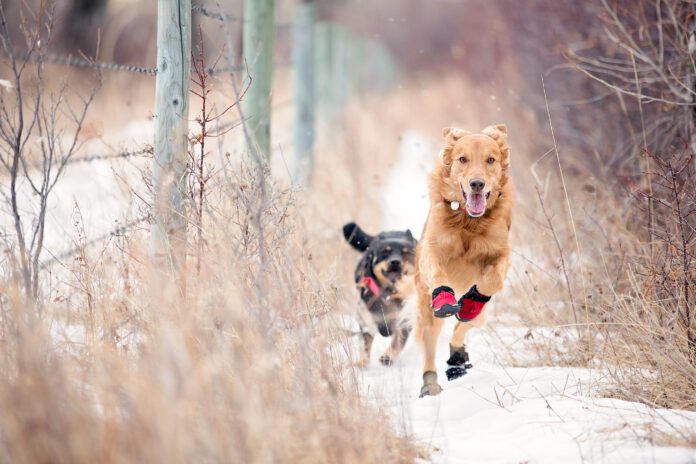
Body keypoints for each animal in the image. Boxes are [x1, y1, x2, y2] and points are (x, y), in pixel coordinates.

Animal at [342, 221, 414, 366]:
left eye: (406, 253)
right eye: (385, 252)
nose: (395, 261)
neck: (389, 293)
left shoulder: (405, 319)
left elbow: (398, 341)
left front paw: (388, 356)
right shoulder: (365, 317)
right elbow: (365, 342)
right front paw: (362, 361)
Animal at [414, 125, 512, 396]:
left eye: (491, 159)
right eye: (462, 159)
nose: (476, 183)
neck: (468, 220)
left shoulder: (503, 253)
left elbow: (492, 280)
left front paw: (470, 301)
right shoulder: (431, 250)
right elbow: (438, 273)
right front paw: (445, 298)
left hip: (482, 314)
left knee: (463, 327)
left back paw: (457, 359)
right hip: (426, 313)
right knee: (429, 347)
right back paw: (430, 384)